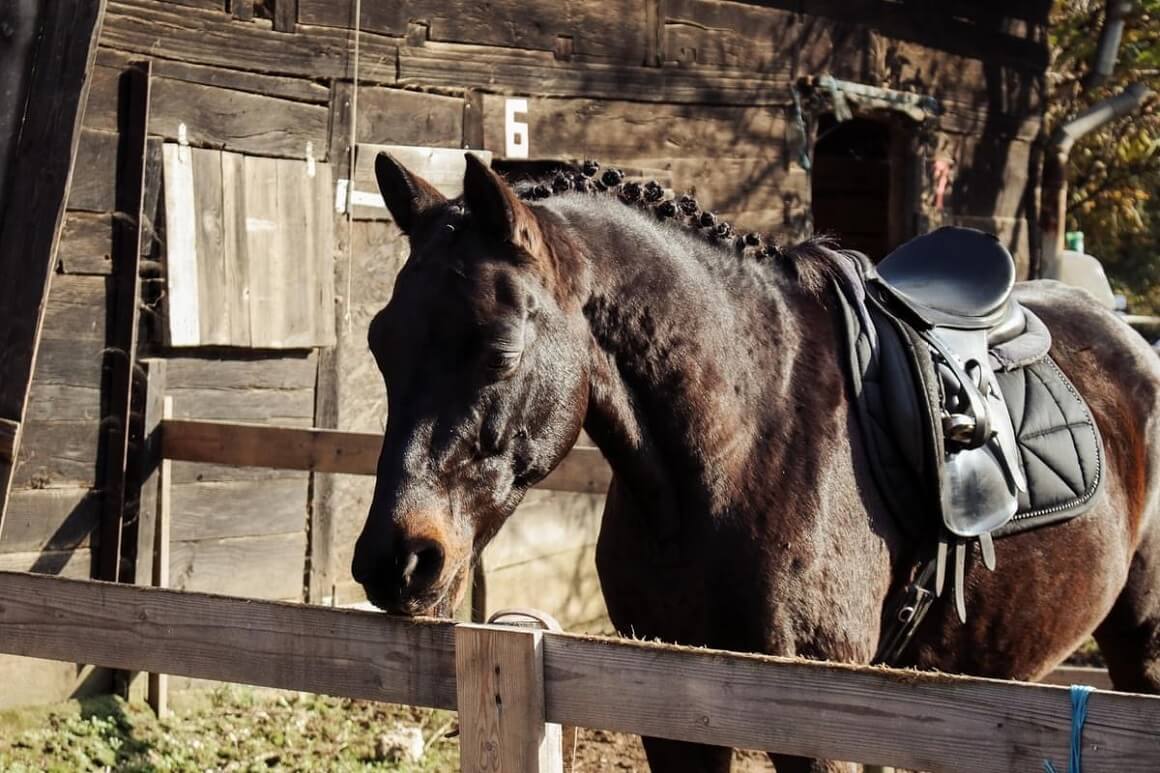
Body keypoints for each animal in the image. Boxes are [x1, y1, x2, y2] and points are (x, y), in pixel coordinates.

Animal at [350, 153, 1160, 766]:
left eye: (499, 349)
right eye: (379, 342)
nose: (396, 560)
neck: (738, 452)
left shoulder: (821, 724)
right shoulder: (669, 712)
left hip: (1140, 645)